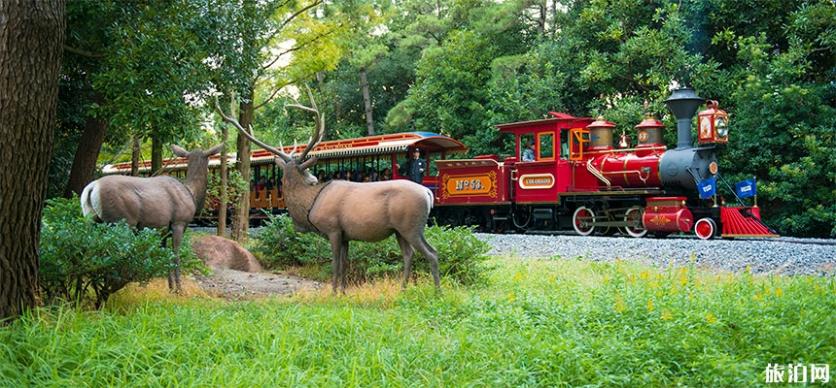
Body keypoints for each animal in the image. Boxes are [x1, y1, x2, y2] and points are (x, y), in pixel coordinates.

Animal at [78, 144, 220, 292]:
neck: (191, 195)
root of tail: (91, 188)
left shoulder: (163, 230)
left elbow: (165, 255)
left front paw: (170, 288)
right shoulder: (178, 223)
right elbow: (175, 254)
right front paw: (179, 289)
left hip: (92, 219)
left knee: (86, 249)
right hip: (120, 222)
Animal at [212, 91, 440, 292]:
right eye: (306, 171)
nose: (314, 179)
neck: (309, 206)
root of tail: (428, 194)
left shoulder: (333, 228)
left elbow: (335, 263)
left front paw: (333, 293)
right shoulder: (346, 234)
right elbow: (345, 263)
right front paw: (343, 292)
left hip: (412, 226)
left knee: (432, 253)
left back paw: (437, 292)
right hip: (400, 230)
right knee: (409, 254)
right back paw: (403, 289)